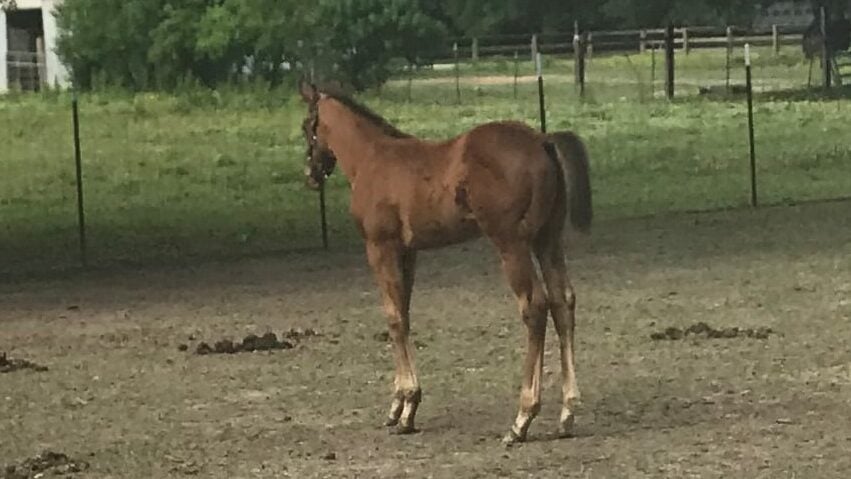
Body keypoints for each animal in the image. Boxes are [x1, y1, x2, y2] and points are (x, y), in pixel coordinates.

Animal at [298, 79, 592, 444]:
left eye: (306, 127)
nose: (310, 174)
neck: (372, 158)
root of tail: (541, 140)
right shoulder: (408, 251)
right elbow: (404, 313)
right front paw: (399, 406)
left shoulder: (380, 247)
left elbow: (394, 318)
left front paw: (408, 405)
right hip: (547, 239)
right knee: (563, 302)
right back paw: (567, 413)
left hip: (512, 243)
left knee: (535, 307)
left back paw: (522, 419)